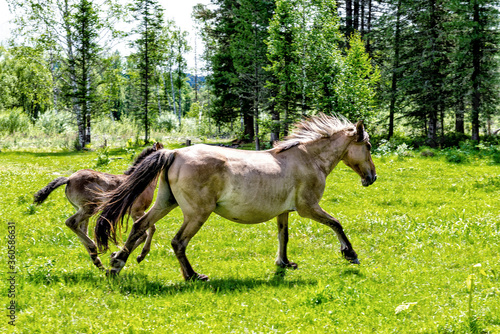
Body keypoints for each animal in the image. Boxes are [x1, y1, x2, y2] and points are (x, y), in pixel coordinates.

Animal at [34, 142, 163, 270]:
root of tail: (69, 179)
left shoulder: (137, 212)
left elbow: (151, 228)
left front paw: (134, 255)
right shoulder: (137, 211)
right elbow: (144, 232)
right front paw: (122, 256)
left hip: (81, 209)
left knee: (81, 230)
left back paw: (96, 260)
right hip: (90, 208)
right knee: (71, 223)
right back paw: (93, 248)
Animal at [94, 115, 376, 280]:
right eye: (369, 146)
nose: (372, 177)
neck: (308, 158)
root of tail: (175, 153)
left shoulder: (284, 212)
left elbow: (283, 236)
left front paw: (284, 263)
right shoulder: (309, 208)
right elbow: (336, 223)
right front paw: (350, 254)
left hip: (165, 202)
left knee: (140, 226)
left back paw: (117, 263)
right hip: (197, 213)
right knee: (178, 241)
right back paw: (193, 276)